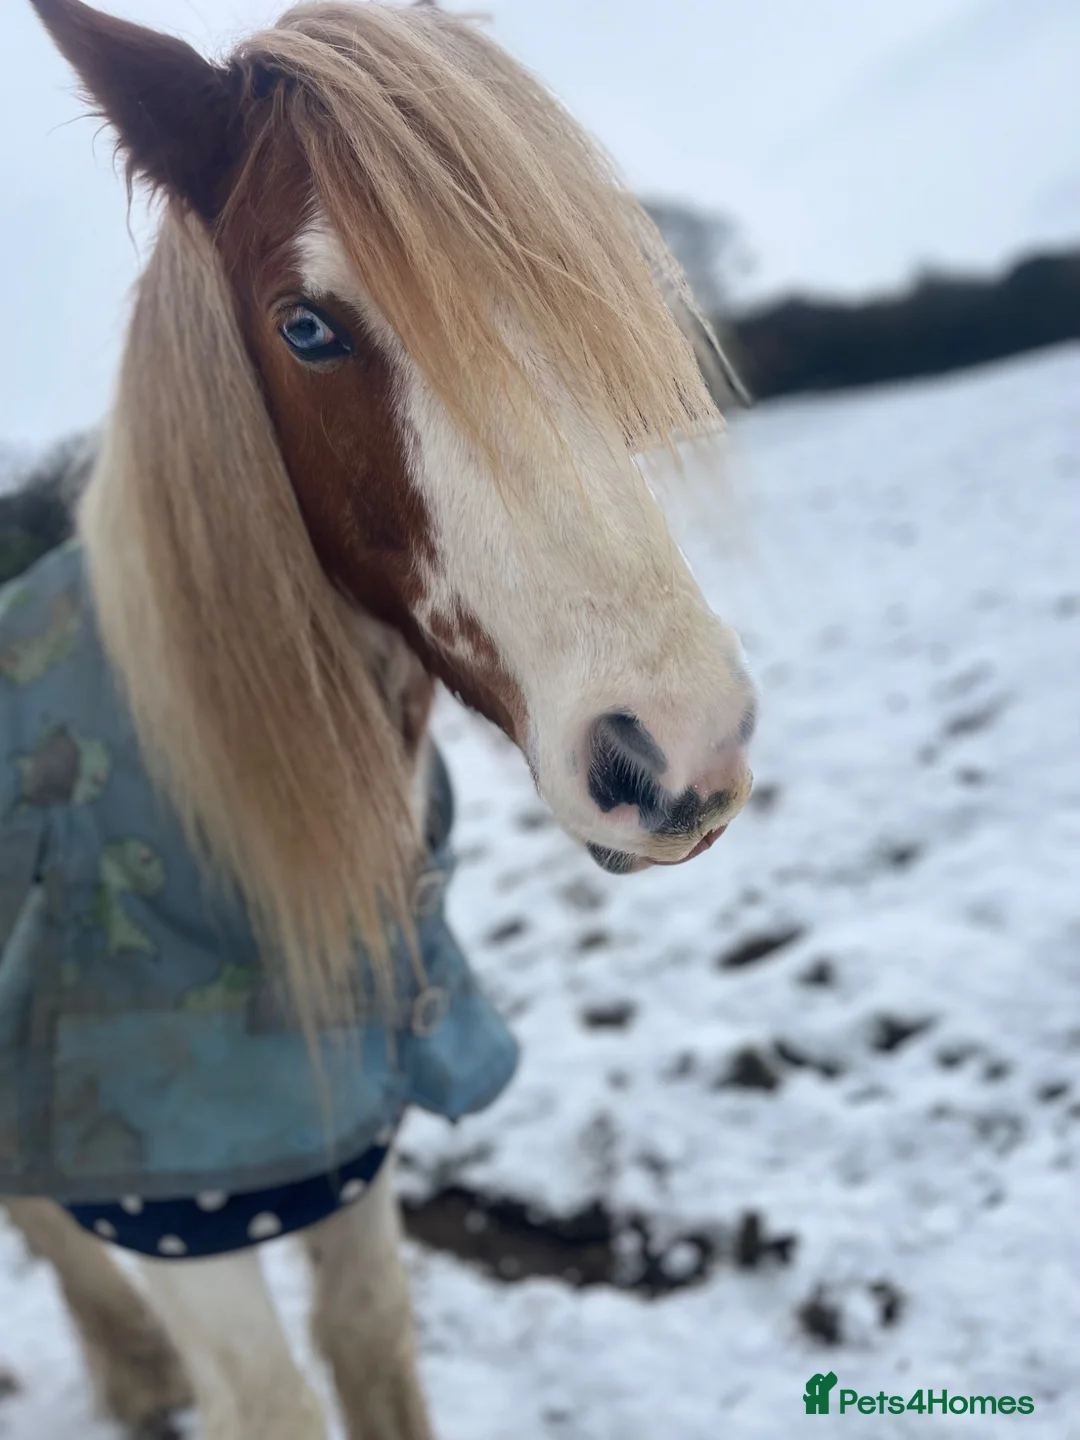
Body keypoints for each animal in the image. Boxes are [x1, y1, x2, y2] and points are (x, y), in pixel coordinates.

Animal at [2, 2, 757, 1436]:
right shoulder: (178, 1212)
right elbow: (272, 1398)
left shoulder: (348, 1140)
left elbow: (369, 1343)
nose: (680, 751)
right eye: (305, 328)